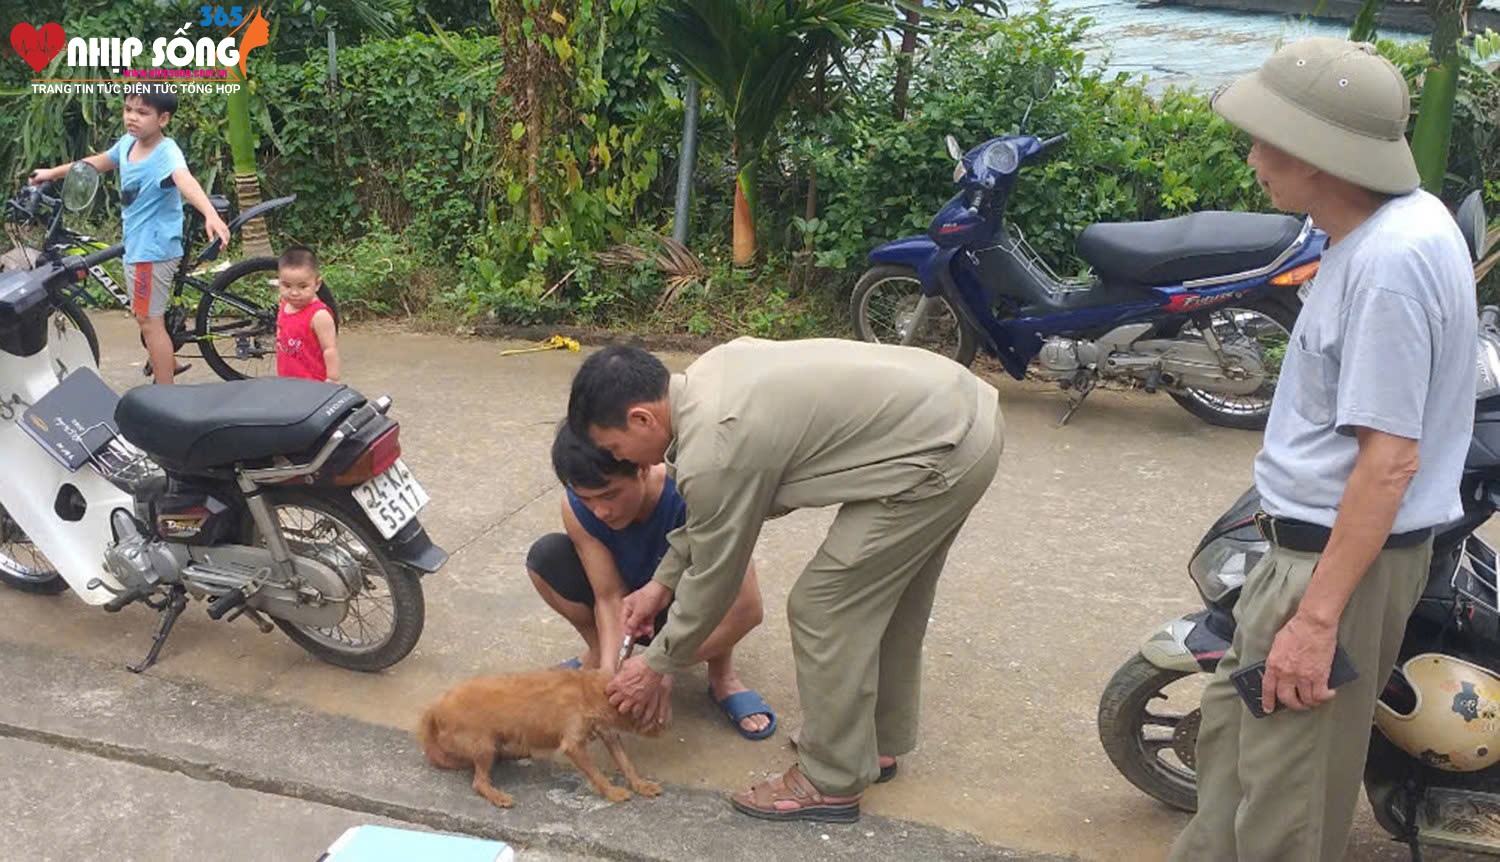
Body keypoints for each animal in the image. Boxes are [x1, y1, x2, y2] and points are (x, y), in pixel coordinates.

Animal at [417, 668, 663, 809]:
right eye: (651, 706)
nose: (665, 724)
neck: (589, 690)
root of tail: (435, 707)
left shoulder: (609, 733)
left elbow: (625, 762)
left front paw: (640, 785)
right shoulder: (573, 744)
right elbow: (595, 773)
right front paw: (611, 791)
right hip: (483, 745)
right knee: (479, 782)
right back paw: (497, 795)